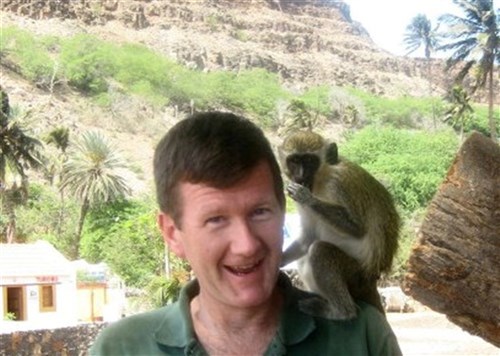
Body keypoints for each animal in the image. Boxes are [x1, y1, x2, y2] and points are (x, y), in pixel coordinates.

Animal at [280, 131, 400, 320]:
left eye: (309, 160)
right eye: (294, 161)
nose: (300, 176)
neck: (321, 181)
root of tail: (372, 278)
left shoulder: (341, 183)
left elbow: (358, 229)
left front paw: (308, 198)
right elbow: (308, 236)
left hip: (355, 275)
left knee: (320, 250)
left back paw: (341, 312)